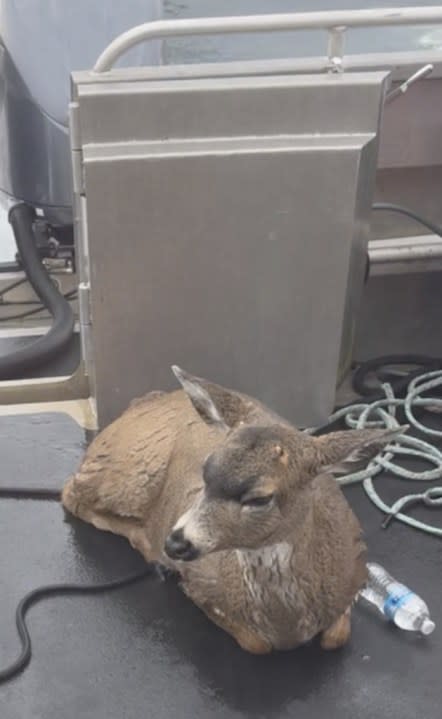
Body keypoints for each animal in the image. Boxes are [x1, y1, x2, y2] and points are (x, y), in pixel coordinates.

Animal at [62, 368, 404, 656]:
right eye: (205, 470)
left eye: (259, 498)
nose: (175, 543)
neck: (287, 625)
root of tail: (142, 402)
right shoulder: (202, 585)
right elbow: (256, 644)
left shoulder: (355, 570)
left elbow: (336, 637)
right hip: (126, 473)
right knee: (71, 493)